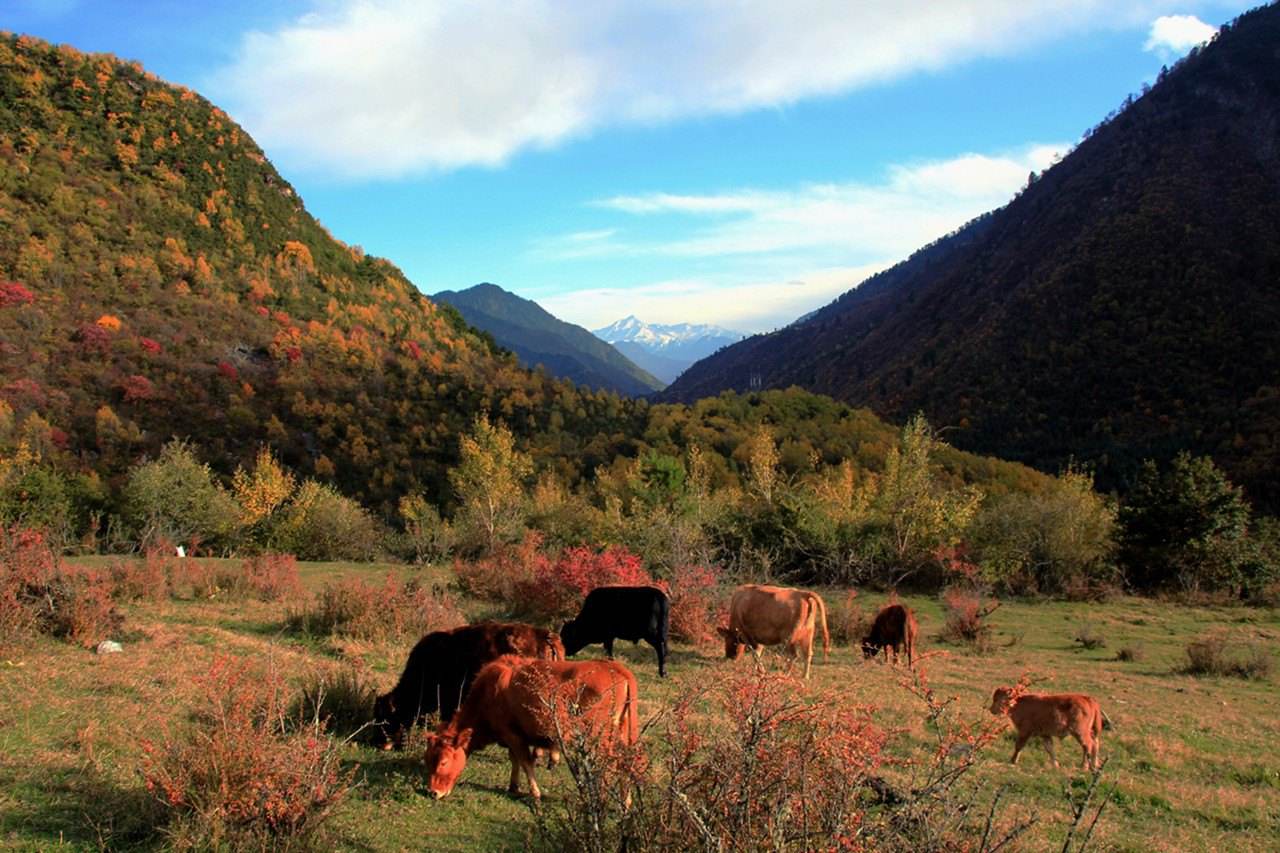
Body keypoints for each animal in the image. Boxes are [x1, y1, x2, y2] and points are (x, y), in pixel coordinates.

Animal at [422, 650, 637, 799]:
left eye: (443, 762)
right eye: (427, 759)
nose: (432, 792)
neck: (491, 692)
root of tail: (617, 668)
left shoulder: (513, 735)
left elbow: (525, 761)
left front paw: (534, 792)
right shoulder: (513, 736)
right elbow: (515, 759)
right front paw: (513, 786)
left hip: (600, 734)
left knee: (615, 761)